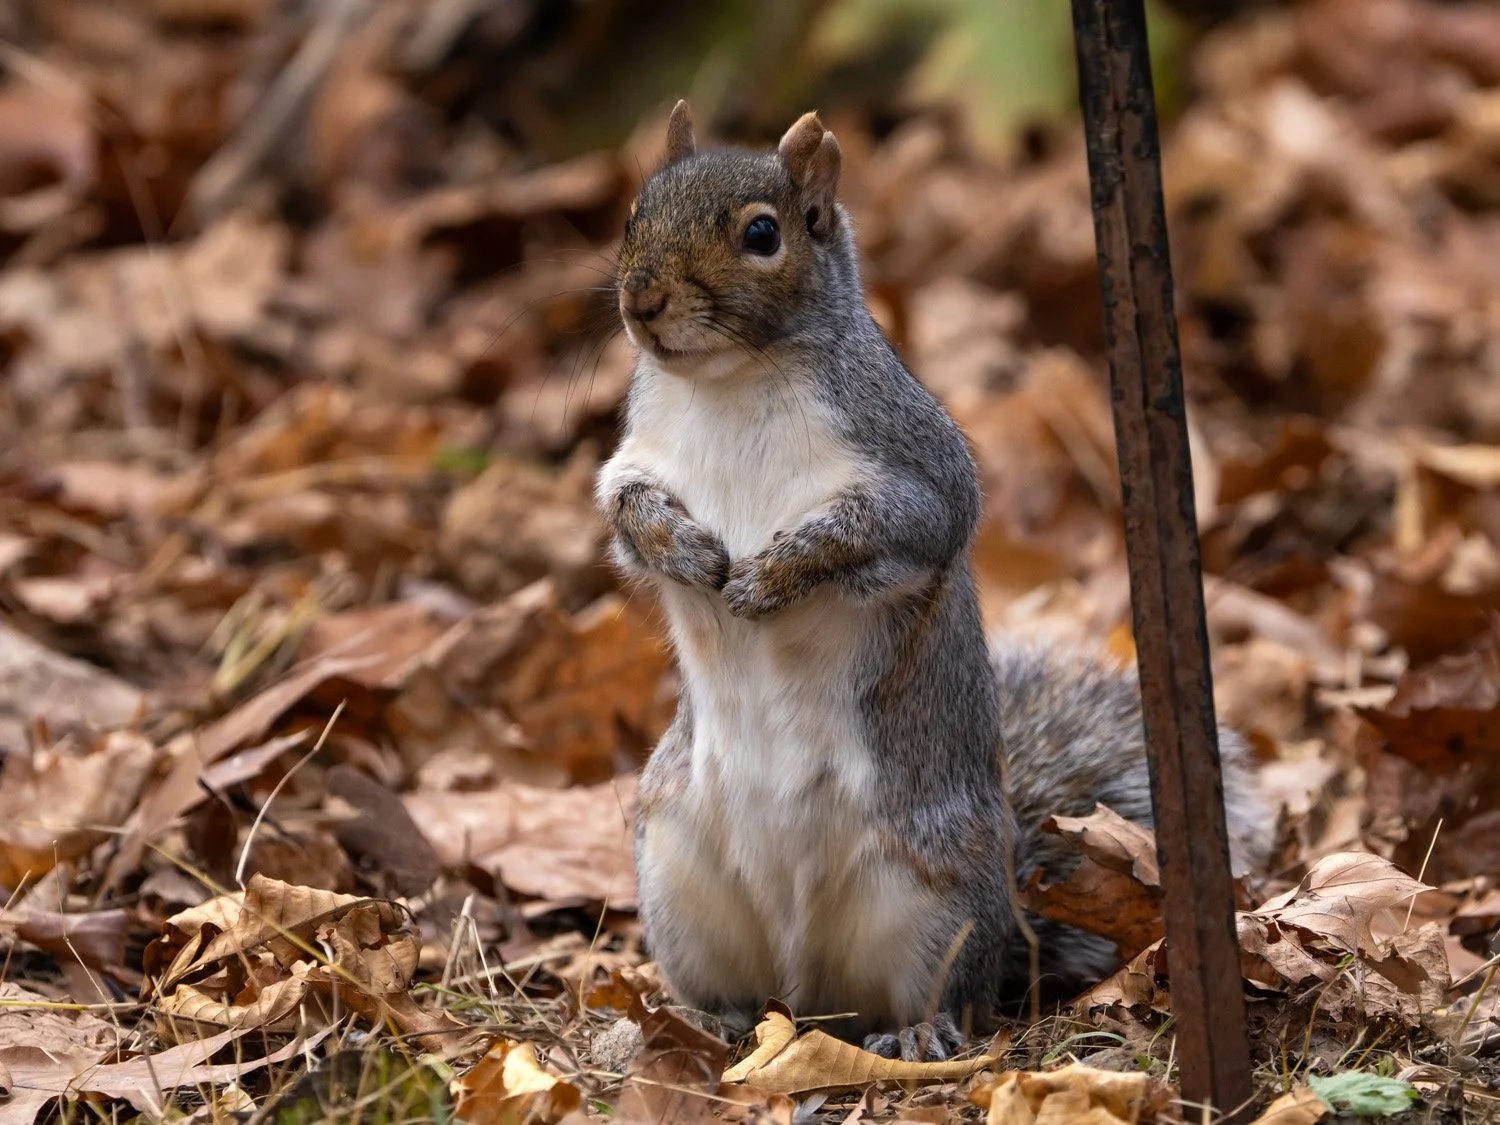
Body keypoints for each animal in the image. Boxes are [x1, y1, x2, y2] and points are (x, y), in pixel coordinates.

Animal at [595, 102, 1274, 1062]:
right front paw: (685, 549)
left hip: (932, 894)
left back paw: (918, 1034)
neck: (729, 381)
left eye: (763, 234)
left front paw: (772, 577)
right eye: (632, 215)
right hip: (674, 863)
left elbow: (875, 530)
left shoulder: (918, 471)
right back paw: (696, 1018)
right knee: (736, 987)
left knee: (952, 993)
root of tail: (808, 991)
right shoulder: (636, 457)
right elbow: (630, 516)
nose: (641, 300)